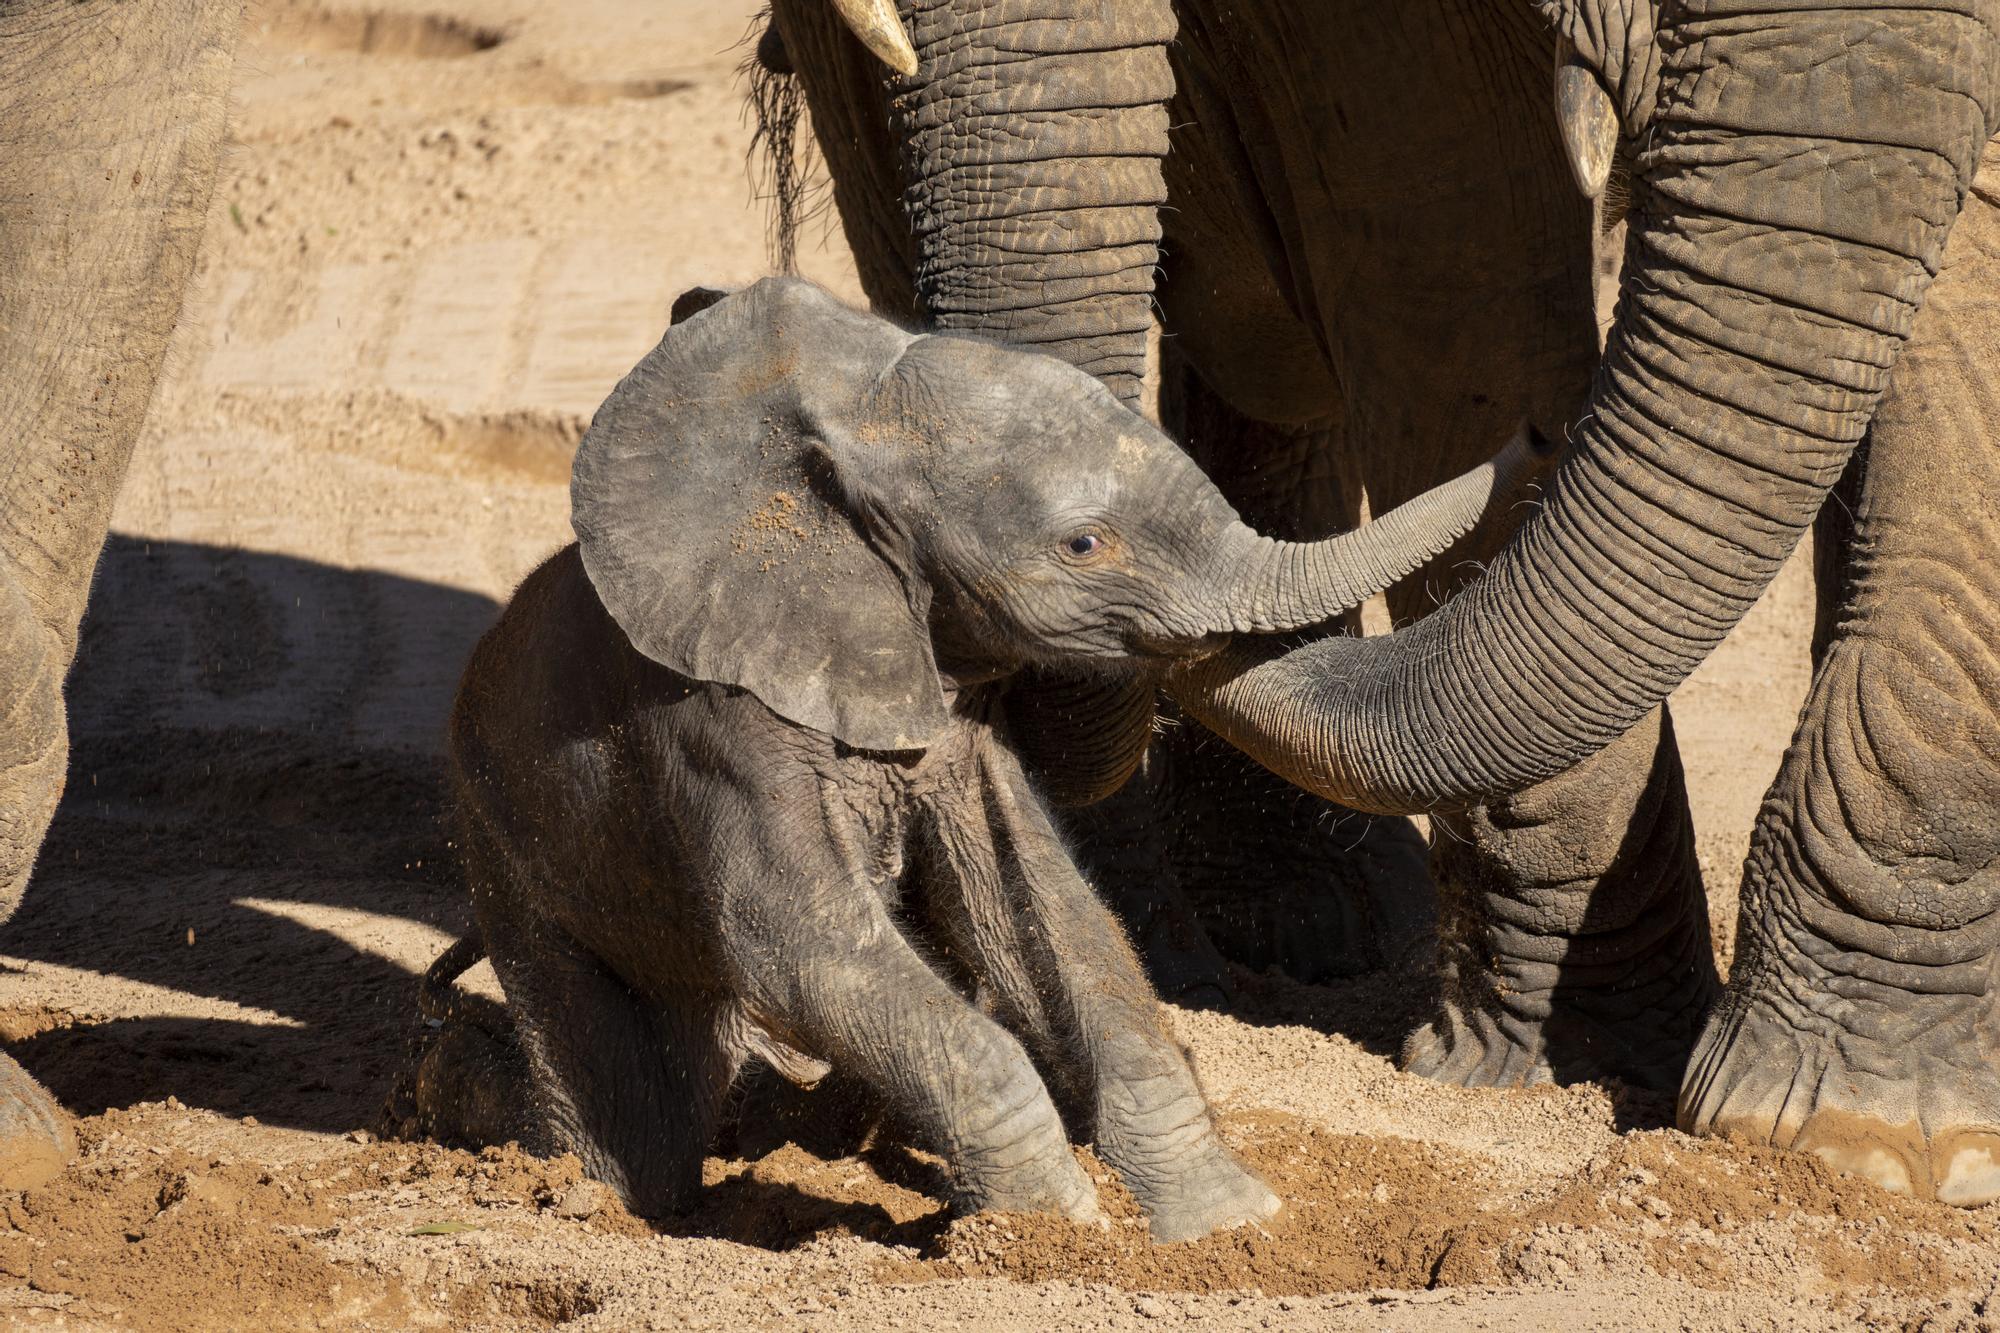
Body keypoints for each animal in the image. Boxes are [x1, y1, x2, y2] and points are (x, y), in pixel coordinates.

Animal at [442, 274, 1528, 1240]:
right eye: (1083, 546)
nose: (1525, 439)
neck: (844, 425)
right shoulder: (719, 720)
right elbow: (800, 947)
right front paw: (1055, 1227)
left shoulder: (957, 713)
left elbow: (1036, 906)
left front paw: (1229, 1225)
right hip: (498, 830)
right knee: (629, 1101)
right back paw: (601, 1200)